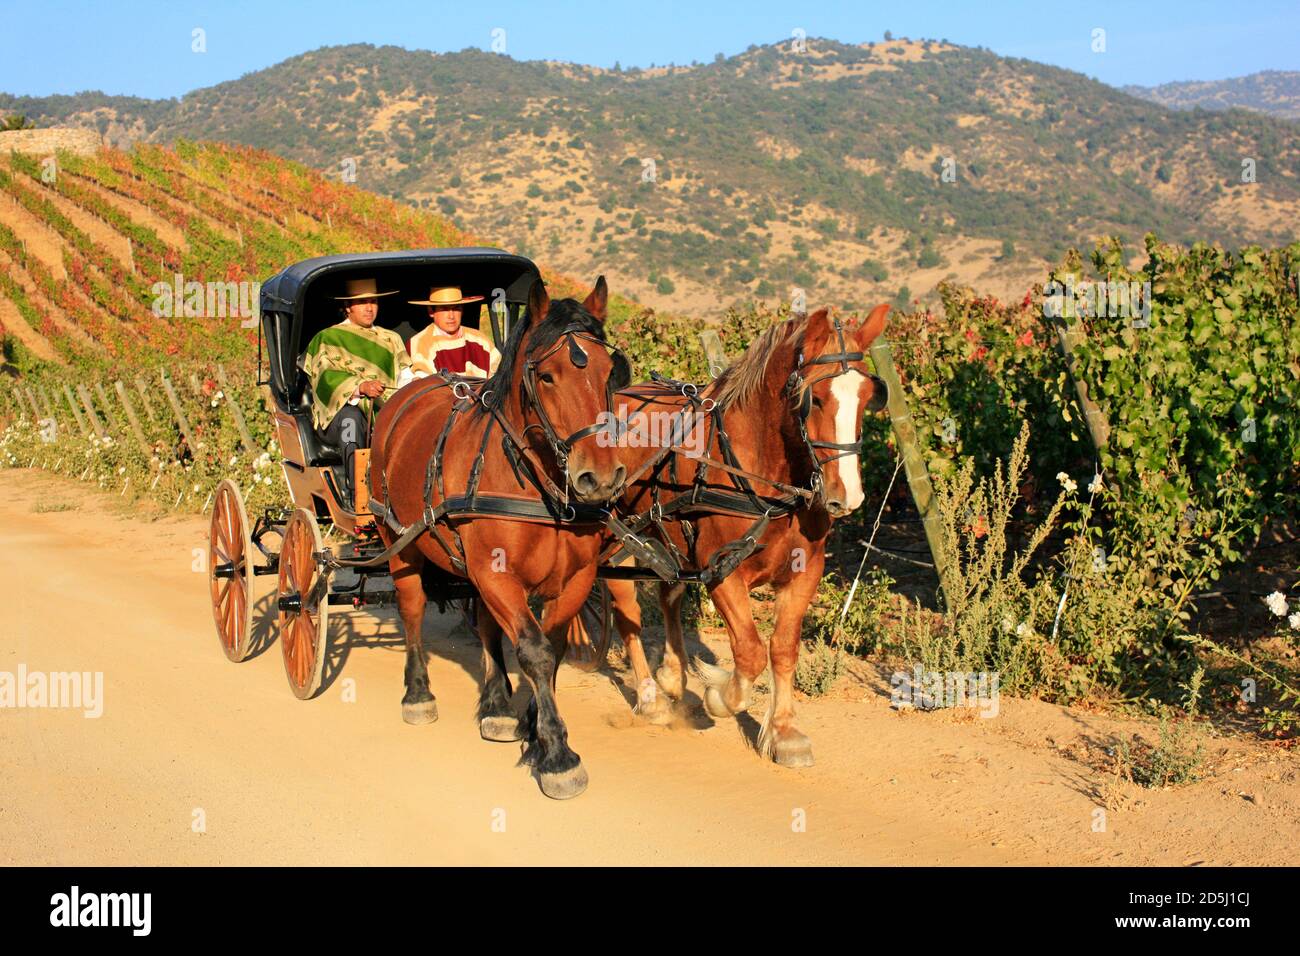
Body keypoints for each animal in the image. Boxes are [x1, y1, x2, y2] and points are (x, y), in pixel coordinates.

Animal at [366, 277, 629, 801]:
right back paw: (418, 692)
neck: (533, 481)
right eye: (546, 377)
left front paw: (531, 723)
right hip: (399, 541)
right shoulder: (496, 572)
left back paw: (496, 706)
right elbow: (534, 650)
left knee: (487, 624)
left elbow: (551, 648)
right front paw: (557, 753)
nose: (601, 477)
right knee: (411, 609)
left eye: (610, 371)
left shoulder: (573, 579)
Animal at [600, 306, 889, 770]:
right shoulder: (721, 570)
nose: (848, 497)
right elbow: (750, 652)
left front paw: (785, 732)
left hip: (662, 534)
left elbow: (783, 649)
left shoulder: (805, 572)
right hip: (616, 534)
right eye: (815, 399)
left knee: (668, 595)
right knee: (626, 606)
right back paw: (650, 698)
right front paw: (721, 696)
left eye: (867, 397)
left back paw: (672, 674)